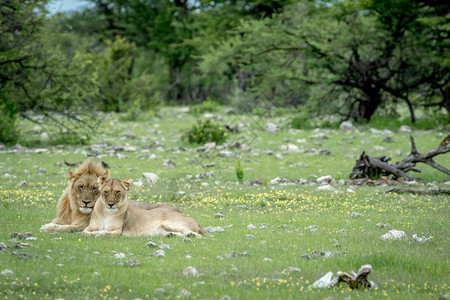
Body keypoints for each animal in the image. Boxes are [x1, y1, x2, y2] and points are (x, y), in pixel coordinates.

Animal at [40, 159, 178, 232]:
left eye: (94, 188)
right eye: (81, 187)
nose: (86, 202)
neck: (77, 212)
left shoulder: (85, 225)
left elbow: (66, 227)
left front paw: (48, 227)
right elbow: (58, 223)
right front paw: (49, 225)